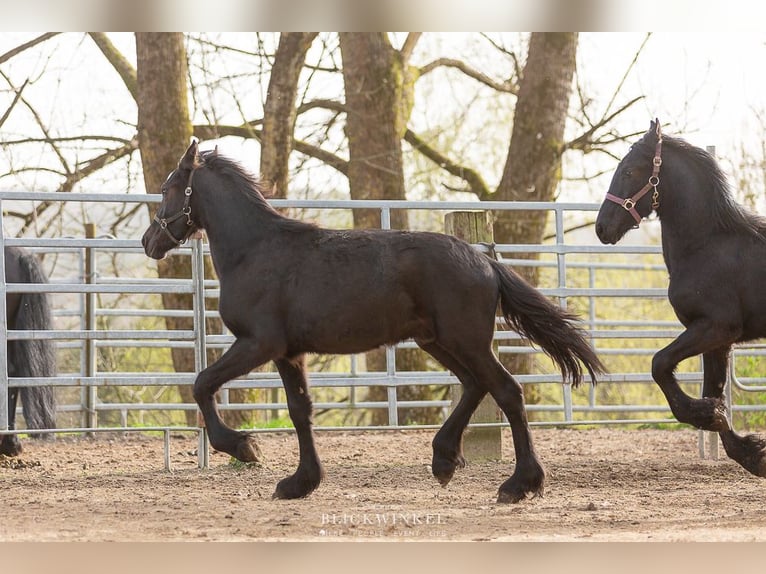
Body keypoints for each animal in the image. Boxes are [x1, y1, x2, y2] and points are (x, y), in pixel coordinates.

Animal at [144, 141, 608, 504]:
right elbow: (300, 411)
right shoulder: (289, 353)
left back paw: (519, 485)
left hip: (466, 341)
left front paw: (245, 448)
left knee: (507, 391)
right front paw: (300, 483)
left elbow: (202, 383)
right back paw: (444, 460)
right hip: (436, 341)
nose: (149, 242)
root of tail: (485, 262)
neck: (255, 250)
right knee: (475, 386)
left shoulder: (258, 344)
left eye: (167, 188)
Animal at [600, 121, 766, 482]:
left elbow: (660, 364)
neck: (705, 245)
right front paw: (750, 453)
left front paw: (708, 414)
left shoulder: (714, 328)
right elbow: (714, 389)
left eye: (629, 170)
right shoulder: (719, 341)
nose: (602, 227)